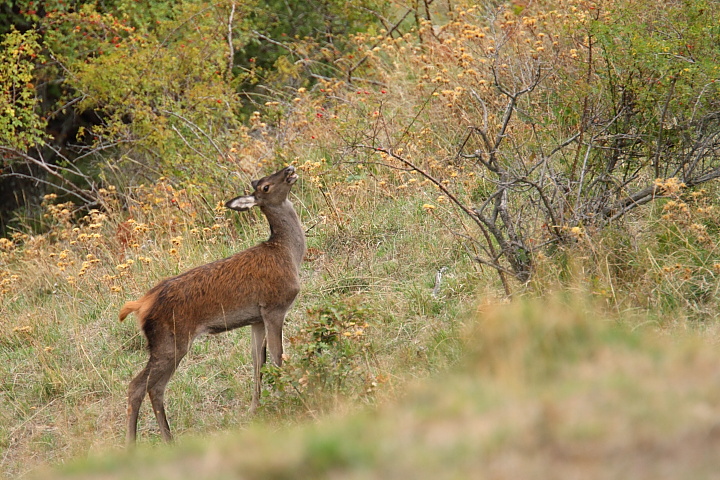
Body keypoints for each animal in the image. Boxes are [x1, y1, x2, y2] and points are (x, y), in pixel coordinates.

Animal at [119, 166, 306, 446]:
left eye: (266, 179)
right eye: (265, 187)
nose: (289, 169)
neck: (289, 254)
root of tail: (141, 304)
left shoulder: (256, 319)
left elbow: (257, 362)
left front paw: (255, 409)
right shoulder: (275, 307)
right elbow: (277, 356)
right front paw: (290, 397)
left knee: (147, 387)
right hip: (171, 340)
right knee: (144, 386)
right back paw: (146, 442)